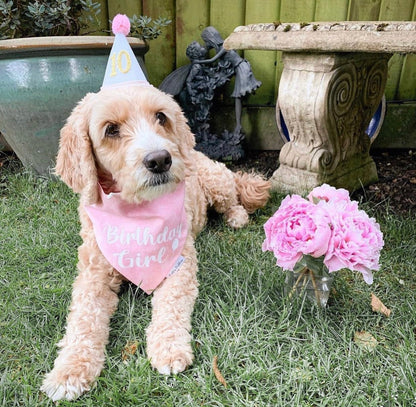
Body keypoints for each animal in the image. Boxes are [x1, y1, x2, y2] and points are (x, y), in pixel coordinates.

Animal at [40, 83, 270, 402]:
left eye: (161, 116)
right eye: (111, 129)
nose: (160, 159)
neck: (136, 212)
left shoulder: (179, 265)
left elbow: (171, 306)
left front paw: (169, 348)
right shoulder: (92, 276)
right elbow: (84, 320)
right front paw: (69, 371)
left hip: (216, 182)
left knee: (234, 197)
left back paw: (236, 216)